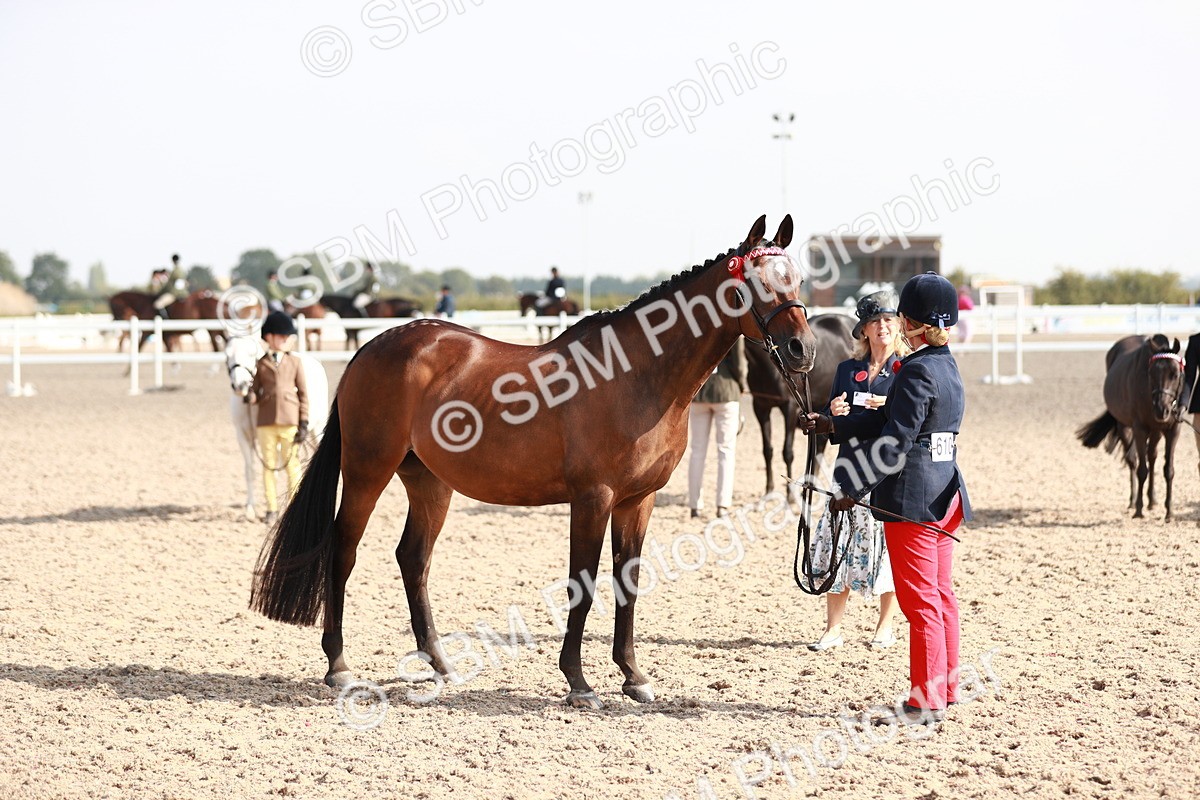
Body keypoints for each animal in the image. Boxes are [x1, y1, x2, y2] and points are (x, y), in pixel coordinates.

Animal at [250, 215, 816, 708]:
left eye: (798, 278)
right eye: (758, 282)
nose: (802, 349)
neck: (637, 374)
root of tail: (372, 347)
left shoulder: (639, 500)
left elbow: (627, 583)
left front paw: (634, 677)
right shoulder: (593, 499)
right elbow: (583, 586)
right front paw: (579, 683)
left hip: (429, 482)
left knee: (413, 559)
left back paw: (440, 664)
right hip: (368, 472)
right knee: (343, 553)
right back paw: (339, 667)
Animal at [746, 313, 855, 500]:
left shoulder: (790, 408)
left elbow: (787, 452)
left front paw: (790, 495)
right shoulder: (760, 406)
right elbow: (767, 450)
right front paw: (769, 490)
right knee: (819, 445)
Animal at [1077, 333, 1183, 521]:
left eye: (1175, 374)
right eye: (1151, 373)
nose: (1162, 409)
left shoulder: (1172, 430)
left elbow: (1168, 470)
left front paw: (1169, 511)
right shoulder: (1140, 430)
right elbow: (1141, 469)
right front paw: (1139, 509)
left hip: (1155, 432)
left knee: (1152, 456)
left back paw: (1152, 500)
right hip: (1125, 427)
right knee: (1133, 460)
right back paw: (1134, 501)